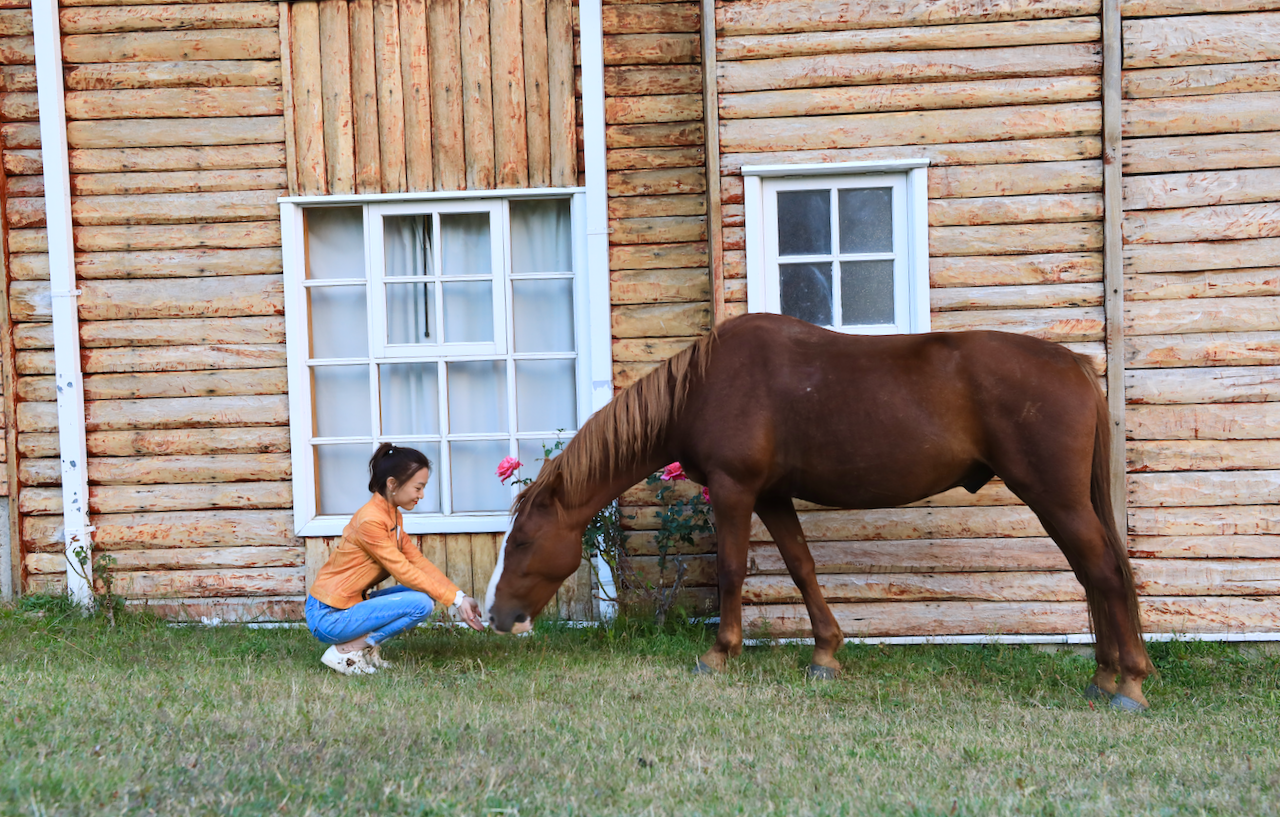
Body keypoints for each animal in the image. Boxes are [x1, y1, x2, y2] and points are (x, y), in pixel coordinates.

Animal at [483, 312, 1157, 711]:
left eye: (521, 543)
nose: (496, 617)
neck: (705, 385)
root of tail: (1073, 363)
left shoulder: (734, 490)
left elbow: (733, 572)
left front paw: (718, 654)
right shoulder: (772, 496)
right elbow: (803, 568)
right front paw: (825, 655)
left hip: (1055, 498)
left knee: (1102, 572)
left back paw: (1127, 683)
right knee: (1093, 575)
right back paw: (1104, 676)